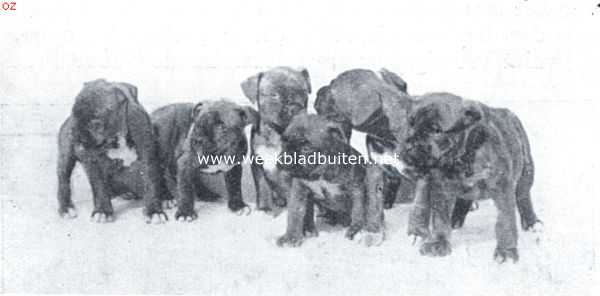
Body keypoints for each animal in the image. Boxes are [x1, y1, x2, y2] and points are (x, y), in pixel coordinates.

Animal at [274, 114, 384, 247]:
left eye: (306, 148)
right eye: (283, 143)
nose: (282, 162)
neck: (320, 172)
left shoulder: (356, 189)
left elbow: (359, 211)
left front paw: (355, 230)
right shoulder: (299, 189)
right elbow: (295, 212)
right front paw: (291, 237)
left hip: (374, 174)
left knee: (374, 211)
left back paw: (372, 233)